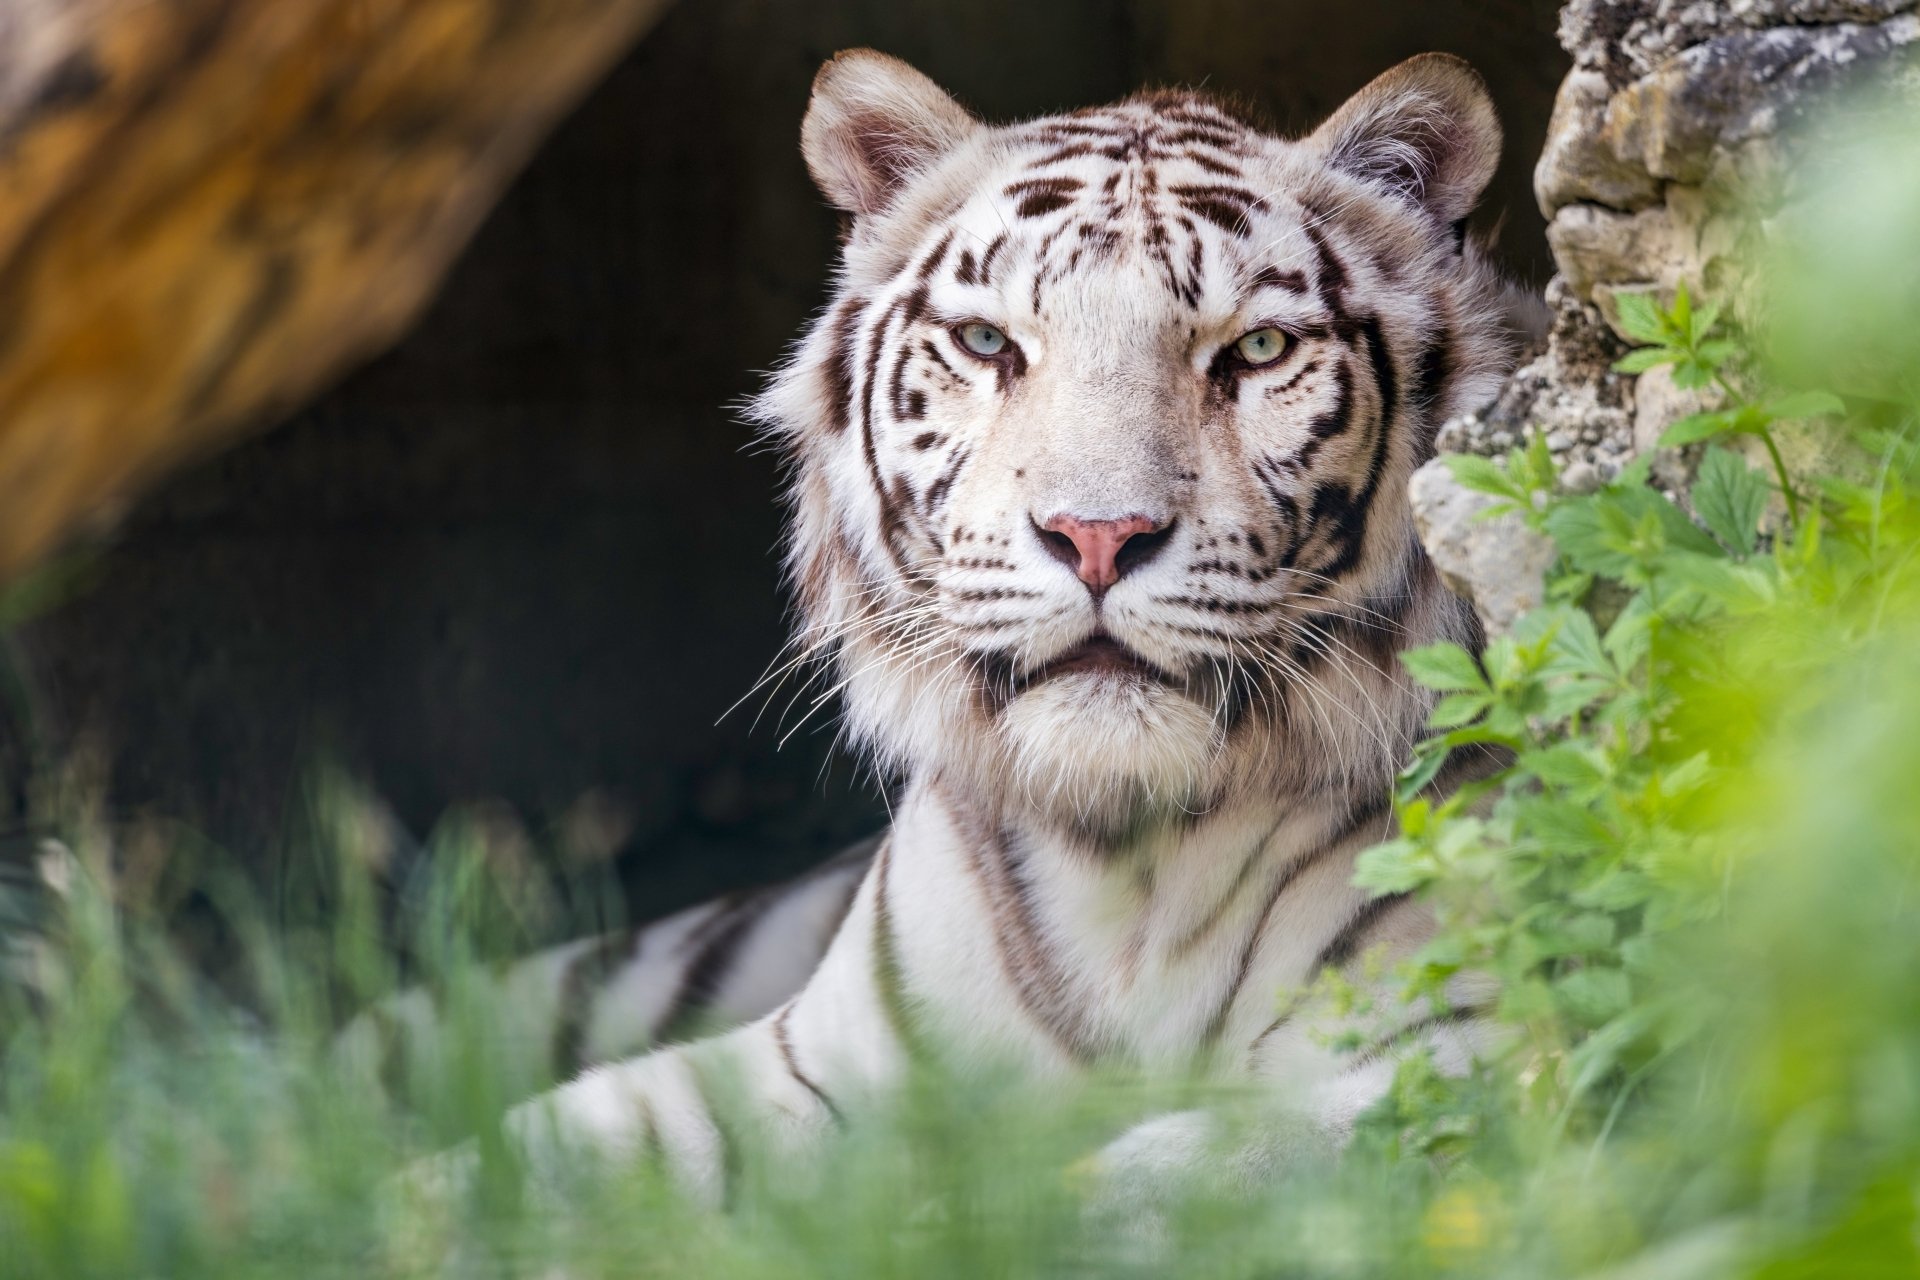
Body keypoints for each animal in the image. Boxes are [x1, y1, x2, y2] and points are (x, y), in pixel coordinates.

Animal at [389, 47, 1537, 1207]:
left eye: (1256, 349)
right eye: (988, 342)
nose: (1097, 536)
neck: (1134, 865)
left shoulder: (1461, 1063)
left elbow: (1143, 1190)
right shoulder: (814, 1061)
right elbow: (518, 1158)